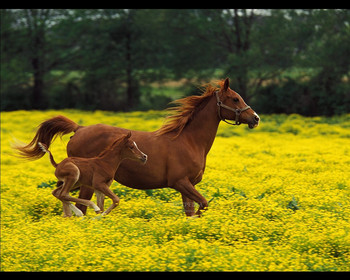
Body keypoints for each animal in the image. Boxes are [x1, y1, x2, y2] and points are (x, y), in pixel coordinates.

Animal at [12, 79, 258, 217]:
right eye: (235, 99)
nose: (255, 118)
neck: (189, 141)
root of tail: (79, 128)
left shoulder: (187, 187)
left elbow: (190, 212)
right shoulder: (181, 182)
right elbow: (203, 205)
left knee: (62, 195)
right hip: (85, 182)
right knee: (74, 201)